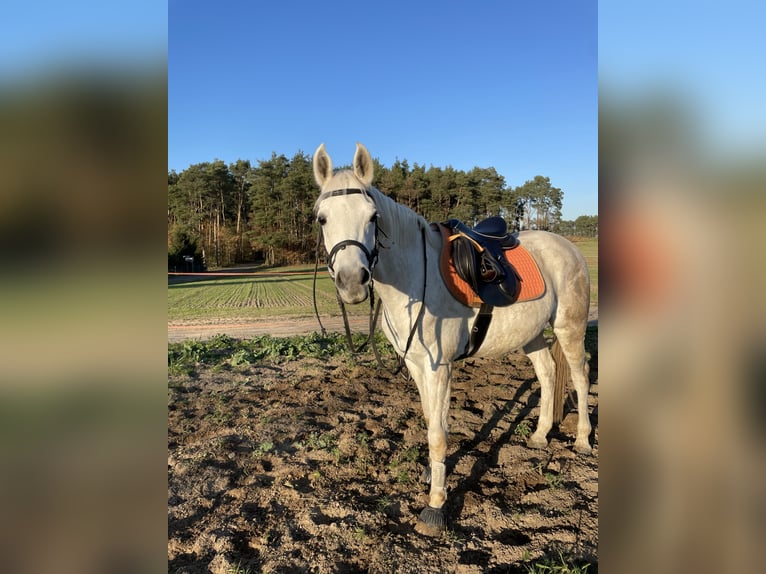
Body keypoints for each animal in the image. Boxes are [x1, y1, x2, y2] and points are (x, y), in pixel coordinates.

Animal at [312, 142, 592, 536]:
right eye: (322, 218)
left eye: (372, 217)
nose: (353, 281)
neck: (415, 277)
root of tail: (568, 246)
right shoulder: (417, 366)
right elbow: (432, 422)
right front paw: (434, 476)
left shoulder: (439, 368)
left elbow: (439, 433)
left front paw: (435, 506)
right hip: (533, 334)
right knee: (549, 373)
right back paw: (539, 436)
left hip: (569, 327)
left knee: (580, 376)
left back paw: (582, 439)